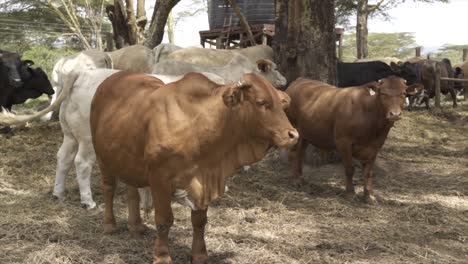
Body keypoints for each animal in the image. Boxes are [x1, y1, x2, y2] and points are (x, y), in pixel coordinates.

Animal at [0, 69, 227, 209]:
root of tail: (81, 73)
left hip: (70, 134)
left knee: (63, 158)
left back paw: (58, 193)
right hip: (88, 139)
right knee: (81, 163)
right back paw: (88, 201)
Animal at [89, 71, 298, 262]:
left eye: (282, 104)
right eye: (261, 102)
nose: (293, 135)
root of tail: (111, 79)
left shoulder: (202, 180)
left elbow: (199, 221)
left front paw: (199, 254)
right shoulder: (160, 178)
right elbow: (164, 220)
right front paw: (162, 256)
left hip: (127, 160)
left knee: (132, 190)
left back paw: (136, 225)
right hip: (102, 158)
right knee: (109, 188)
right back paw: (110, 225)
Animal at [288, 77, 422, 203]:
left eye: (403, 93)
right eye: (382, 93)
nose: (395, 114)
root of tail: (300, 80)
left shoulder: (375, 146)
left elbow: (368, 172)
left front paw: (369, 196)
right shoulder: (343, 142)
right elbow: (349, 169)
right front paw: (350, 194)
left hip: (305, 134)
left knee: (301, 154)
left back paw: (301, 178)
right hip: (294, 130)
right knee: (294, 153)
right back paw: (295, 180)